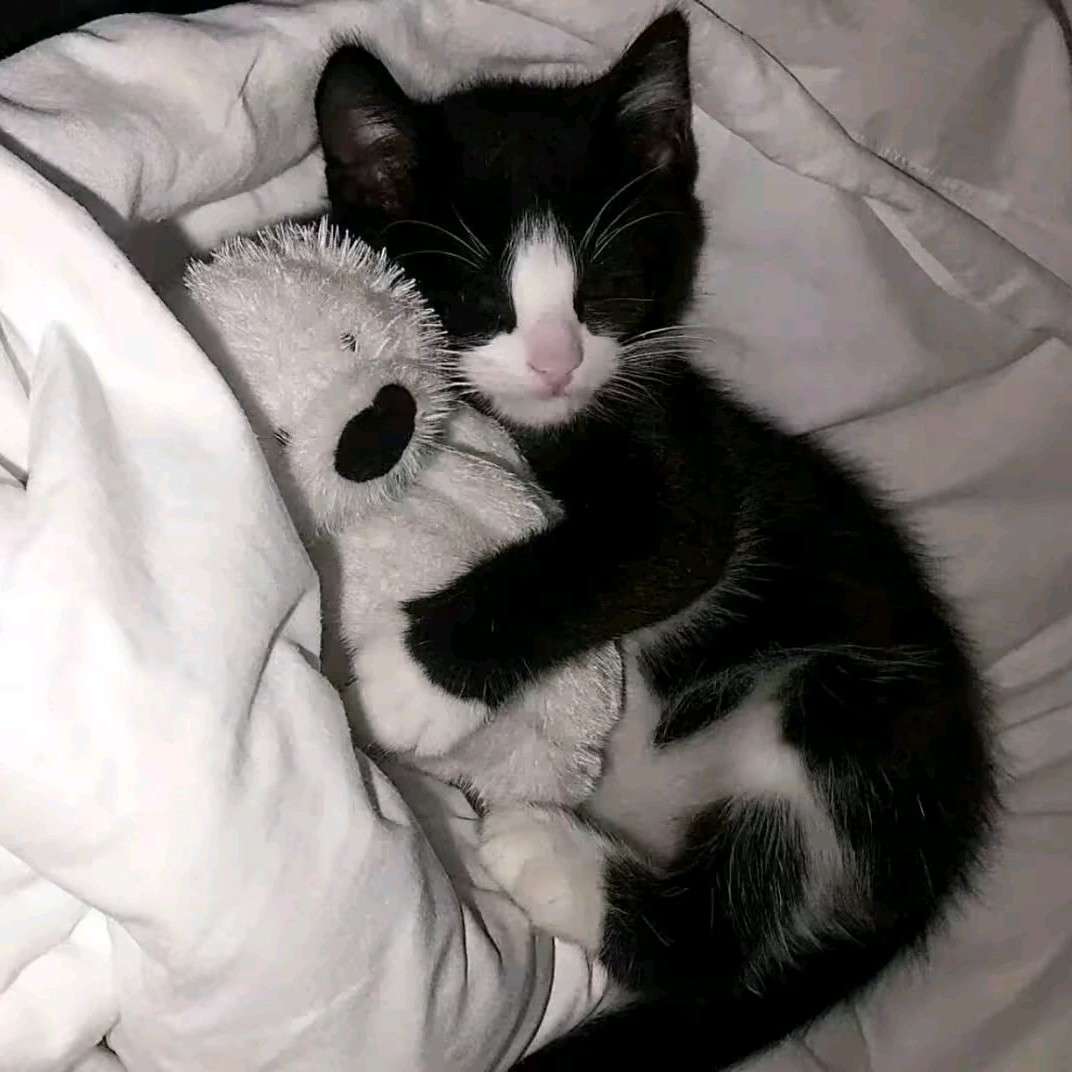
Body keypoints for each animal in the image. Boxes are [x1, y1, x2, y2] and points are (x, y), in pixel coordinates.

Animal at [316, 11, 997, 1070]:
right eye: (477, 299)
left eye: (608, 285)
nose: (557, 362)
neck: (545, 428)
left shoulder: (689, 474)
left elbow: (614, 556)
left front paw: (406, 681)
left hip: (841, 711)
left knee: (724, 940)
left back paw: (544, 854)